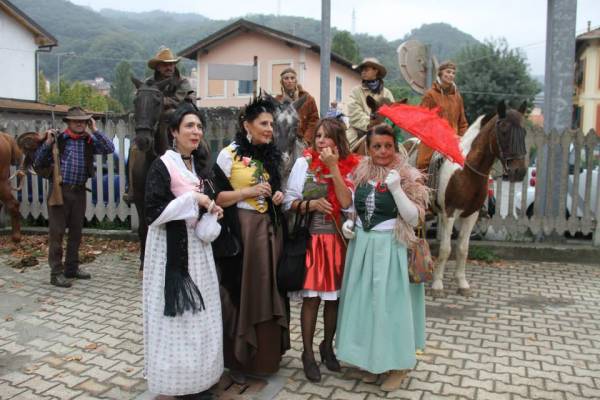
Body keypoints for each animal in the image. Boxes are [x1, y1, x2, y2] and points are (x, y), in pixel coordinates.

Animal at [432, 101, 524, 296]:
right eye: (504, 131)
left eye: (524, 132)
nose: (519, 171)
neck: (466, 169)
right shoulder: (449, 213)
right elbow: (445, 249)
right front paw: (437, 283)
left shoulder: (471, 214)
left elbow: (463, 248)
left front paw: (462, 282)